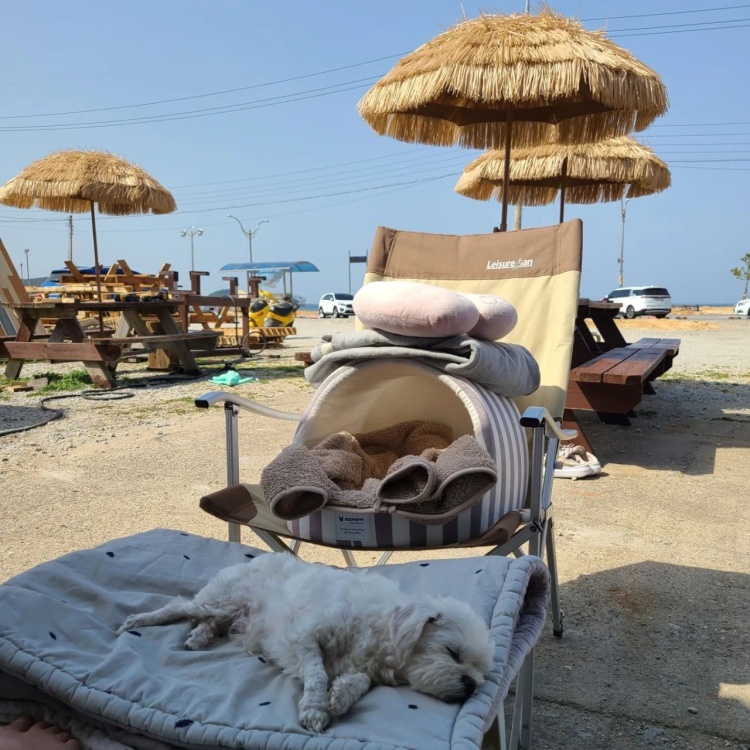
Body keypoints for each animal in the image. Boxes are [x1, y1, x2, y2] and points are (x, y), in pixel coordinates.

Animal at [117, 552, 494, 732]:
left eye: (480, 672)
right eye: (453, 653)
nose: (472, 685)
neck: (379, 629)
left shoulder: (365, 667)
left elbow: (358, 681)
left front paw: (341, 697)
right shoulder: (306, 636)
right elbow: (317, 673)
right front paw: (315, 707)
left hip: (232, 614)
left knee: (211, 622)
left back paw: (200, 636)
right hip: (221, 600)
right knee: (181, 606)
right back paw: (138, 621)